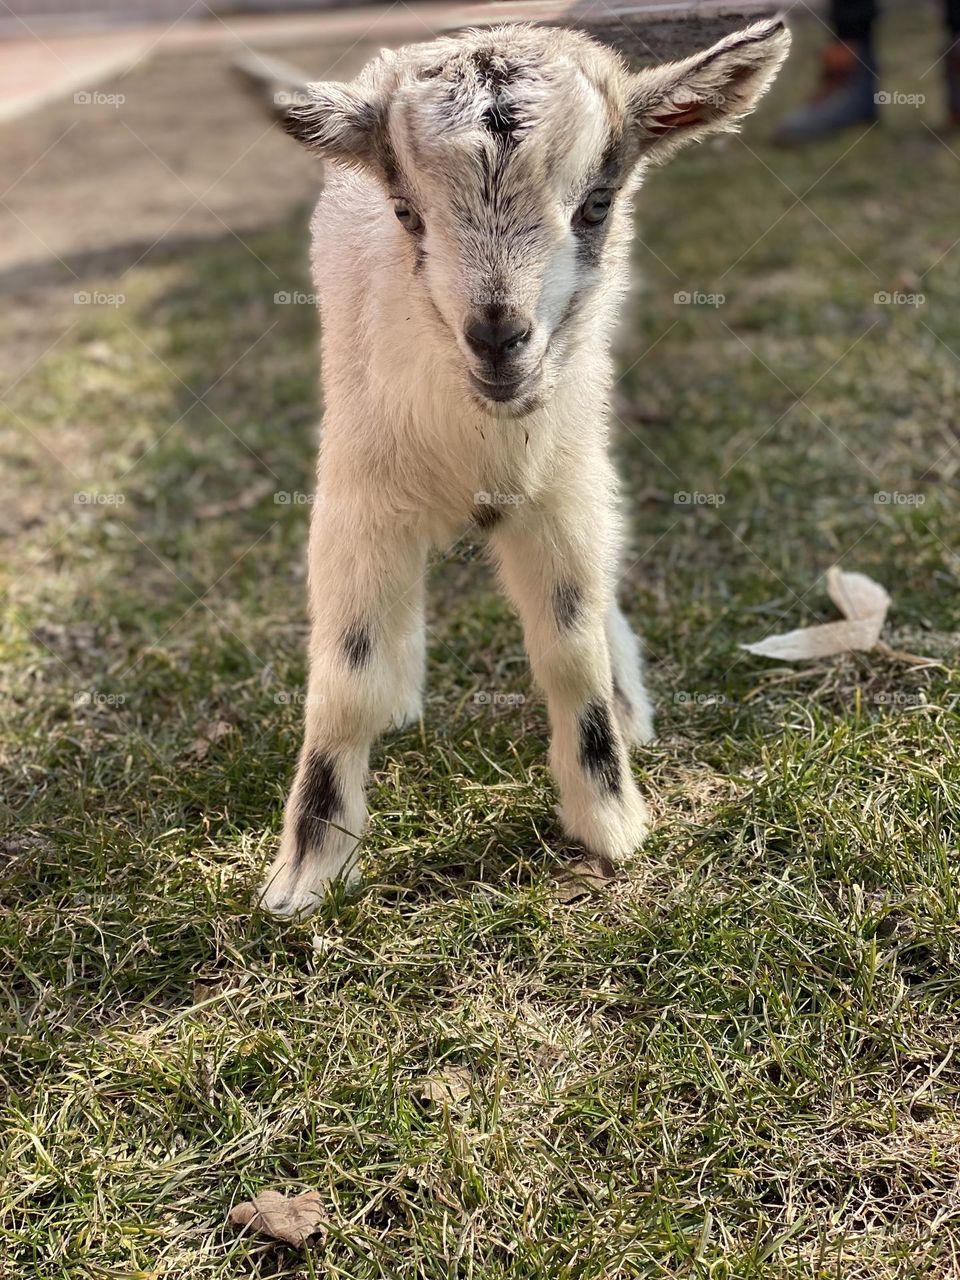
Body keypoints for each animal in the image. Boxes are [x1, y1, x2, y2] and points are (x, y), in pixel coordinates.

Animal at [259, 15, 793, 916]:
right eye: (406, 212)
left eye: (597, 204)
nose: (499, 339)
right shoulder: (358, 503)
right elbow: (344, 678)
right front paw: (306, 875)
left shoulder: (562, 495)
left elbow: (571, 648)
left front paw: (609, 821)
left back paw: (628, 703)